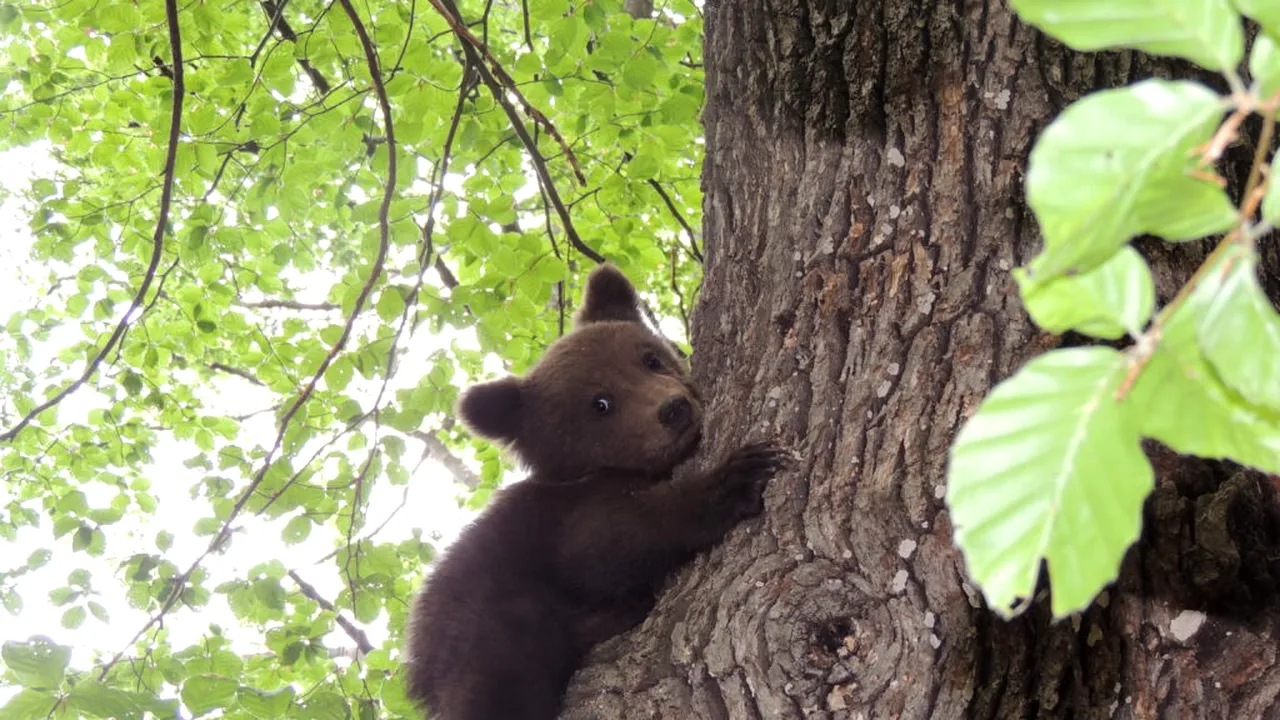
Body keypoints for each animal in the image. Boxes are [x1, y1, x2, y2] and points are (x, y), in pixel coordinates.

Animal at [402, 263, 791, 720]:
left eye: (650, 359)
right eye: (600, 403)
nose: (673, 410)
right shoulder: (567, 517)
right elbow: (615, 538)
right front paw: (738, 475)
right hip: (492, 633)